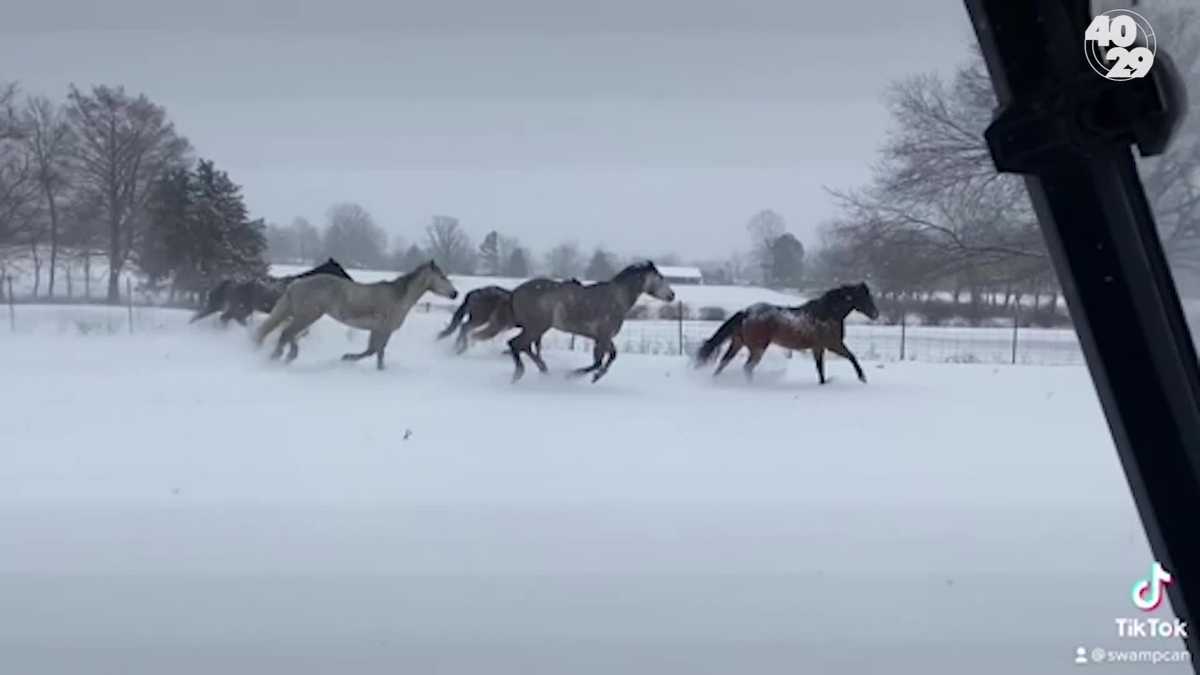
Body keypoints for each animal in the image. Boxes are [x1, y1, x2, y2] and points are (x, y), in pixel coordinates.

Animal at [189, 255, 350, 324]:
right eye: (338, 268)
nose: (350, 279)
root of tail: (233, 282)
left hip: (243, 309)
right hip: (240, 308)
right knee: (227, 318)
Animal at [255, 260, 456, 369]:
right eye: (442, 277)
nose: (455, 294)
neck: (398, 297)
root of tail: (294, 284)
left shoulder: (377, 330)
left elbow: (373, 351)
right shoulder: (384, 329)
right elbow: (375, 351)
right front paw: (347, 358)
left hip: (299, 314)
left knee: (285, 333)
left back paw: (284, 356)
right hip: (308, 316)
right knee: (287, 333)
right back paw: (279, 357)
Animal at [504, 260, 676, 381]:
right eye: (660, 278)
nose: (672, 295)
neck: (617, 298)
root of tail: (515, 292)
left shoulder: (603, 337)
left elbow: (611, 356)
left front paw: (596, 376)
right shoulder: (603, 336)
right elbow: (598, 362)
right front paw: (574, 375)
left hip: (534, 329)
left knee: (522, 346)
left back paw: (540, 370)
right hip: (536, 328)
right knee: (515, 344)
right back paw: (520, 374)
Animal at [696, 279, 883, 384]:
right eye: (864, 297)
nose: (876, 314)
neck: (827, 314)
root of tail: (747, 312)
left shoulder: (818, 348)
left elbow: (820, 369)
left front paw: (823, 383)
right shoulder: (833, 345)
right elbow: (852, 357)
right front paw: (862, 378)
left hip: (737, 344)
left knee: (723, 363)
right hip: (757, 348)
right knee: (747, 368)